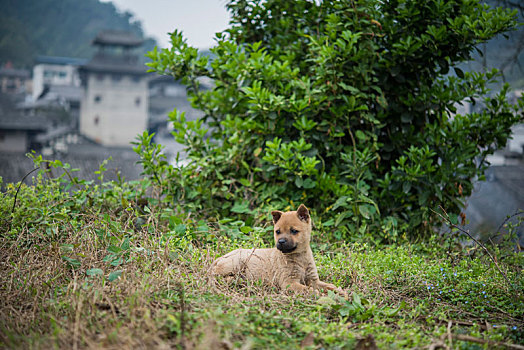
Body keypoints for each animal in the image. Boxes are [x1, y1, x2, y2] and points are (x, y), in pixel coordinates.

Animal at [211, 204, 346, 296]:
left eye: (294, 231)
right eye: (278, 231)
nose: (280, 242)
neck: (300, 257)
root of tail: (218, 259)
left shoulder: (313, 279)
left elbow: (329, 285)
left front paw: (340, 292)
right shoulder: (289, 283)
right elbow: (307, 289)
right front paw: (318, 294)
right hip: (236, 262)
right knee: (216, 275)